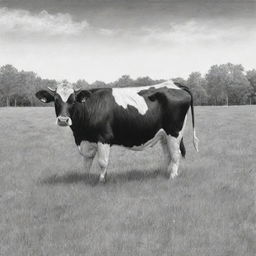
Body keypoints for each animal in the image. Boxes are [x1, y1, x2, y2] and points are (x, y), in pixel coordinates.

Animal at [35, 80, 200, 182]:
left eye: (73, 99)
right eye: (56, 100)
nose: (63, 120)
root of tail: (174, 83)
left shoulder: (104, 137)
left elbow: (102, 162)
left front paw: (102, 180)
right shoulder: (86, 140)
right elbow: (86, 162)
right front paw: (85, 178)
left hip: (175, 132)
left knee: (176, 154)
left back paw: (172, 176)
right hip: (164, 135)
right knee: (168, 154)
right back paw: (164, 173)